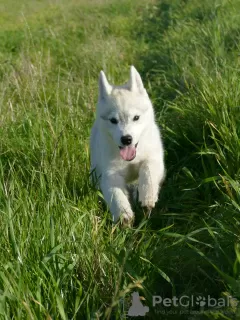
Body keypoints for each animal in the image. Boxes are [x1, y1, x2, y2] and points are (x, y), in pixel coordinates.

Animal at [90, 66, 165, 224]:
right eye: (113, 120)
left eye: (136, 117)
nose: (126, 139)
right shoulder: (109, 174)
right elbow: (115, 194)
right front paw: (123, 214)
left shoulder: (154, 159)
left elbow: (148, 171)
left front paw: (147, 196)